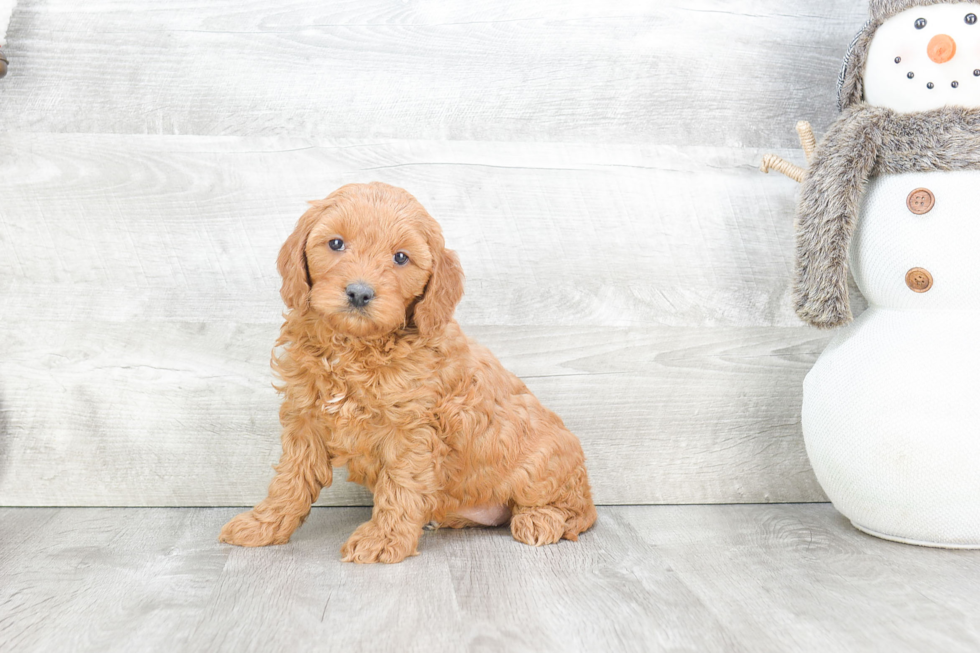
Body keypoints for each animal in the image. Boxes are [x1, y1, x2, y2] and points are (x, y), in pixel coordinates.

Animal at [217, 182, 592, 560]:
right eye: (336, 243)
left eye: (400, 257)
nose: (359, 292)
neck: (354, 348)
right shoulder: (305, 420)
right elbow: (291, 479)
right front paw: (263, 525)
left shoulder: (413, 430)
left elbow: (401, 484)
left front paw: (382, 539)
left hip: (543, 463)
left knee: (579, 509)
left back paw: (541, 519)